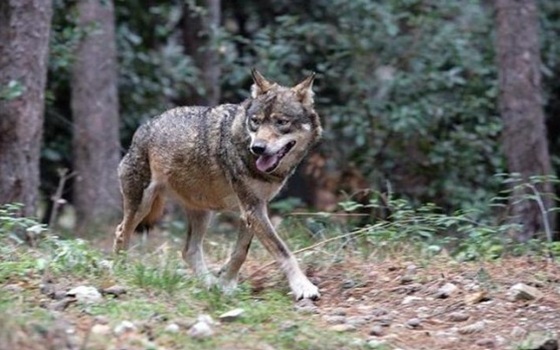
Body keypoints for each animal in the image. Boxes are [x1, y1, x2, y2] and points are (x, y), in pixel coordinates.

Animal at [113, 69, 322, 300]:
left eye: (281, 122)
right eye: (255, 121)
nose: (257, 148)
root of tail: (144, 127)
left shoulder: (252, 211)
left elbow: (240, 253)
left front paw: (225, 284)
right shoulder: (253, 209)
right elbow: (283, 251)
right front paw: (303, 287)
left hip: (203, 213)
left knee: (189, 251)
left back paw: (209, 284)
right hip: (142, 205)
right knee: (121, 232)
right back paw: (121, 272)